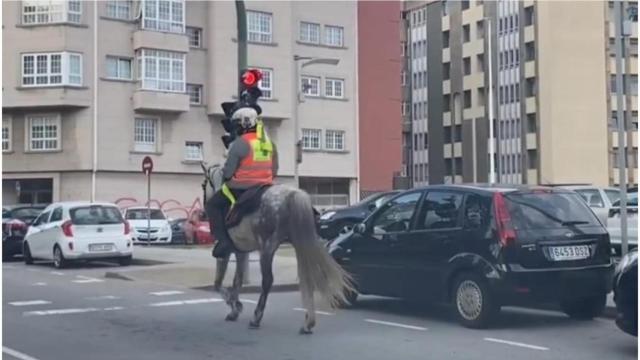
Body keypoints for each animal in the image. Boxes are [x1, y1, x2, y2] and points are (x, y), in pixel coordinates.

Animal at [200, 163, 352, 334]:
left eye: (203, 185)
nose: (202, 213)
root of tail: (293, 195)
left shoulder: (225, 252)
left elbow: (218, 283)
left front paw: (235, 305)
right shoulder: (241, 252)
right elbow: (237, 280)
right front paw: (234, 309)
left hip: (267, 248)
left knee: (267, 281)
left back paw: (256, 318)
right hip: (303, 243)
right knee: (309, 276)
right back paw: (308, 323)